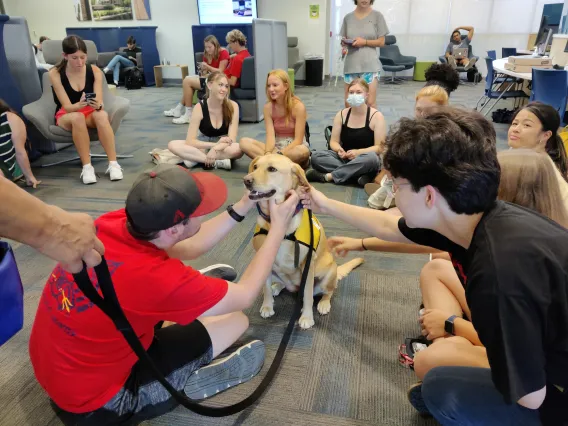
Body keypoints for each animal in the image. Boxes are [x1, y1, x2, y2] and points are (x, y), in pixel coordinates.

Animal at [245, 154, 364, 330]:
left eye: (272, 169)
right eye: (255, 167)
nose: (246, 180)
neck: (276, 223)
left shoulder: (307, 265)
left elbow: (307, 296)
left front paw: (307, 317)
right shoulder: (263, 258)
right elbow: (265, 287)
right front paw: (267, 306)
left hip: (329, 274)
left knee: (327, 292)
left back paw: (323, 304)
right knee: (283, 284)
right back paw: (277, 287)